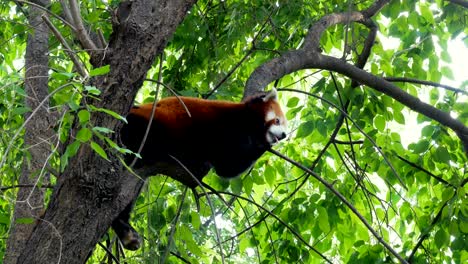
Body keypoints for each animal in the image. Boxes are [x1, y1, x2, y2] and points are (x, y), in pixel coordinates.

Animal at [113, 88, 288, 250]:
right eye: (277, 120)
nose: (284, 135)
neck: (248, 122)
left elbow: (228, 167)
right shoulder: (225, 127)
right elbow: (227, 163)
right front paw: (263, 144)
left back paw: (125, 231)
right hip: (146, 123)